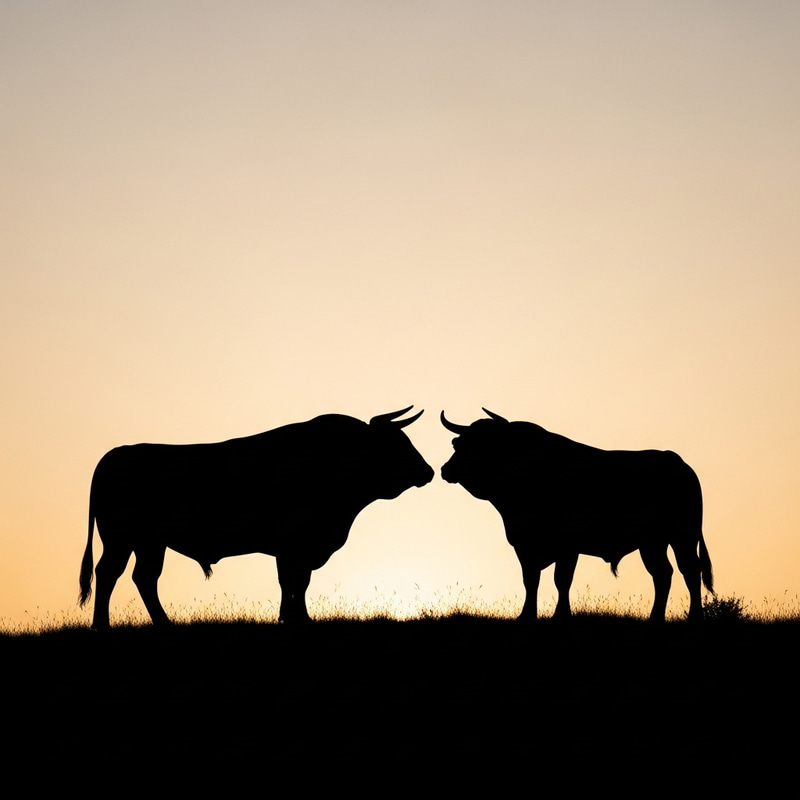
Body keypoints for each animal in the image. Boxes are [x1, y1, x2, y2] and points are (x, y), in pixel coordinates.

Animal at [79, 407, 434, 629]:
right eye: (397, 443)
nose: (428, 471)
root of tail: (115, 455)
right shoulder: (294, 545)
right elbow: (294, 582)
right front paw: (296, 618)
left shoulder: (295, 549)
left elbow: (295, 583)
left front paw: (292, 617)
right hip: (120, 538)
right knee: (108, 573)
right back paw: (102, 625)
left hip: (150, 543)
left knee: (144, 578)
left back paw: (164, 623)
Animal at [440, 409, 713, 622]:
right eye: (458, 444)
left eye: (482, 444)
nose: (445, 469)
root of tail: (677, 462)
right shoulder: (523, 544)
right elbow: (531, 579)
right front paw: (527, 616)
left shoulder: (567, 547)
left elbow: (561, 580)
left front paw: (560, 616)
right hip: (653, 543)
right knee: (663, 574)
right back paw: (654, 618)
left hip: (683, 536)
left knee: (690, 570)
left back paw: (694, 618)